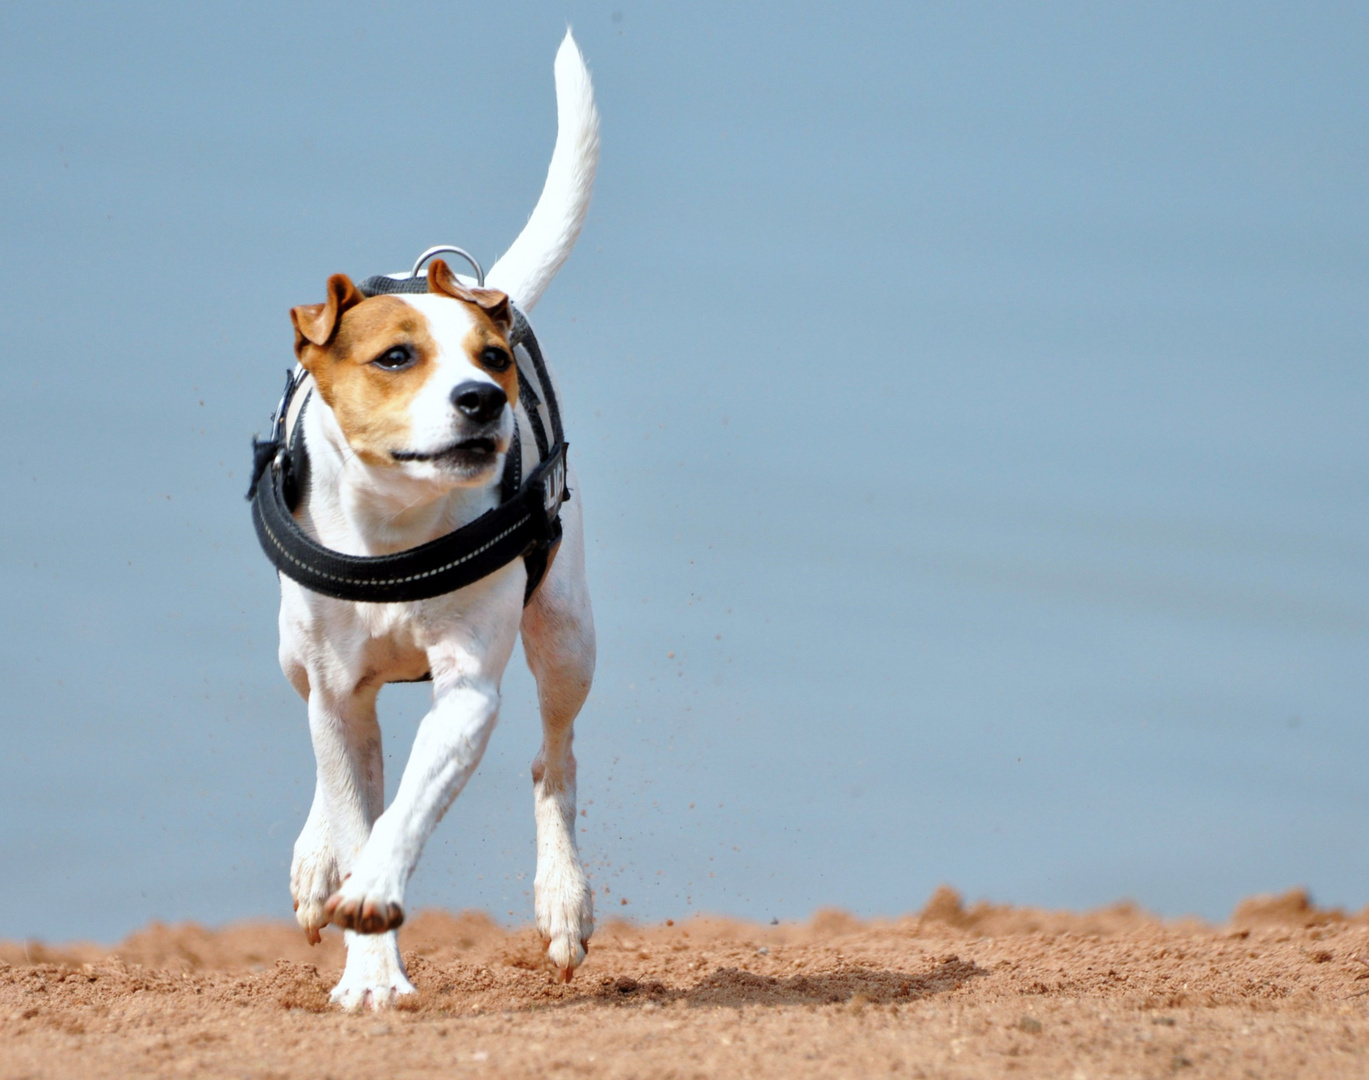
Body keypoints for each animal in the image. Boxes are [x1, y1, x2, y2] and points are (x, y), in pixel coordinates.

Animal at [272, 35, 599, 1012]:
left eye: (492, 360)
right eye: (394, 358)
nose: (482, 400)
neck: (395, 533)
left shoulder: (466, 689)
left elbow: (405, 812)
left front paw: (373, 899)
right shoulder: (337, 689)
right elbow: (355, 804)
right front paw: (368, 968)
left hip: (566, 633)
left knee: (554, 761)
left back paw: (563, 899)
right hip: (292, 652)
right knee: (334, 764)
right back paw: (314, 867)